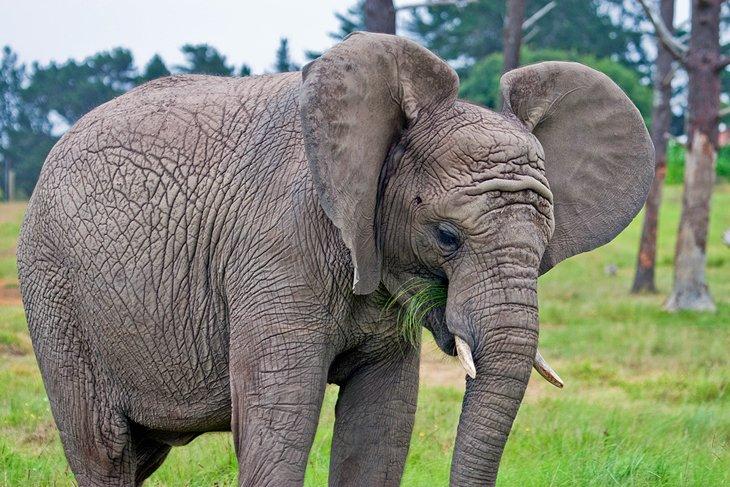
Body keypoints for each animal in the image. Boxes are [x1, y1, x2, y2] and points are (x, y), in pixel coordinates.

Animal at [17, 32, 653, 486]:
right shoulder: (275, 250)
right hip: (53, 287)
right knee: (106, 449)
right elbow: (281, 423)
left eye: (545, 247)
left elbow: (381, 425)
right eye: (446, 236)